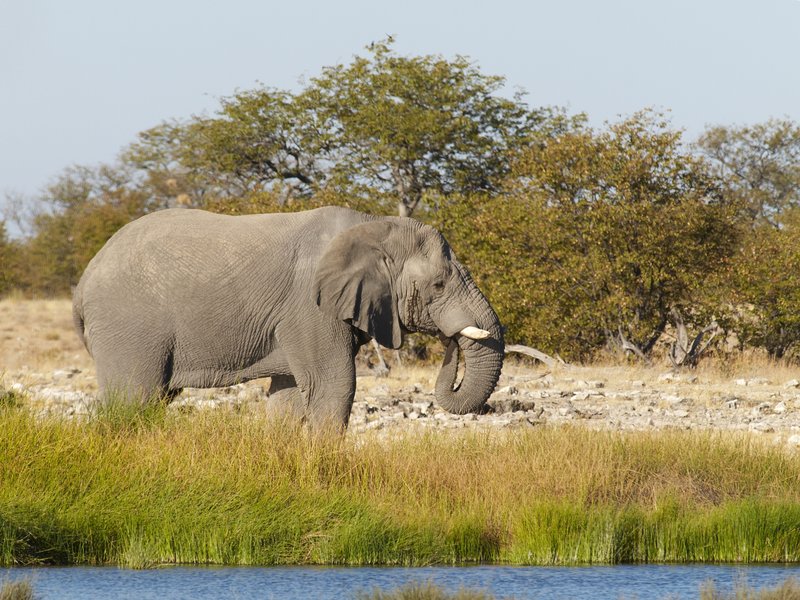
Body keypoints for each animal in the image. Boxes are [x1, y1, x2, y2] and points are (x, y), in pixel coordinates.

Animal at [72, 206, 504, 428]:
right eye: (438, 285)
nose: (449, 340)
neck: (373, 226)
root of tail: (84, 281)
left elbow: (290, 395)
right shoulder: (309, 308)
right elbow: (334, 385)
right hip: (128, 324)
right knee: (135, 399)